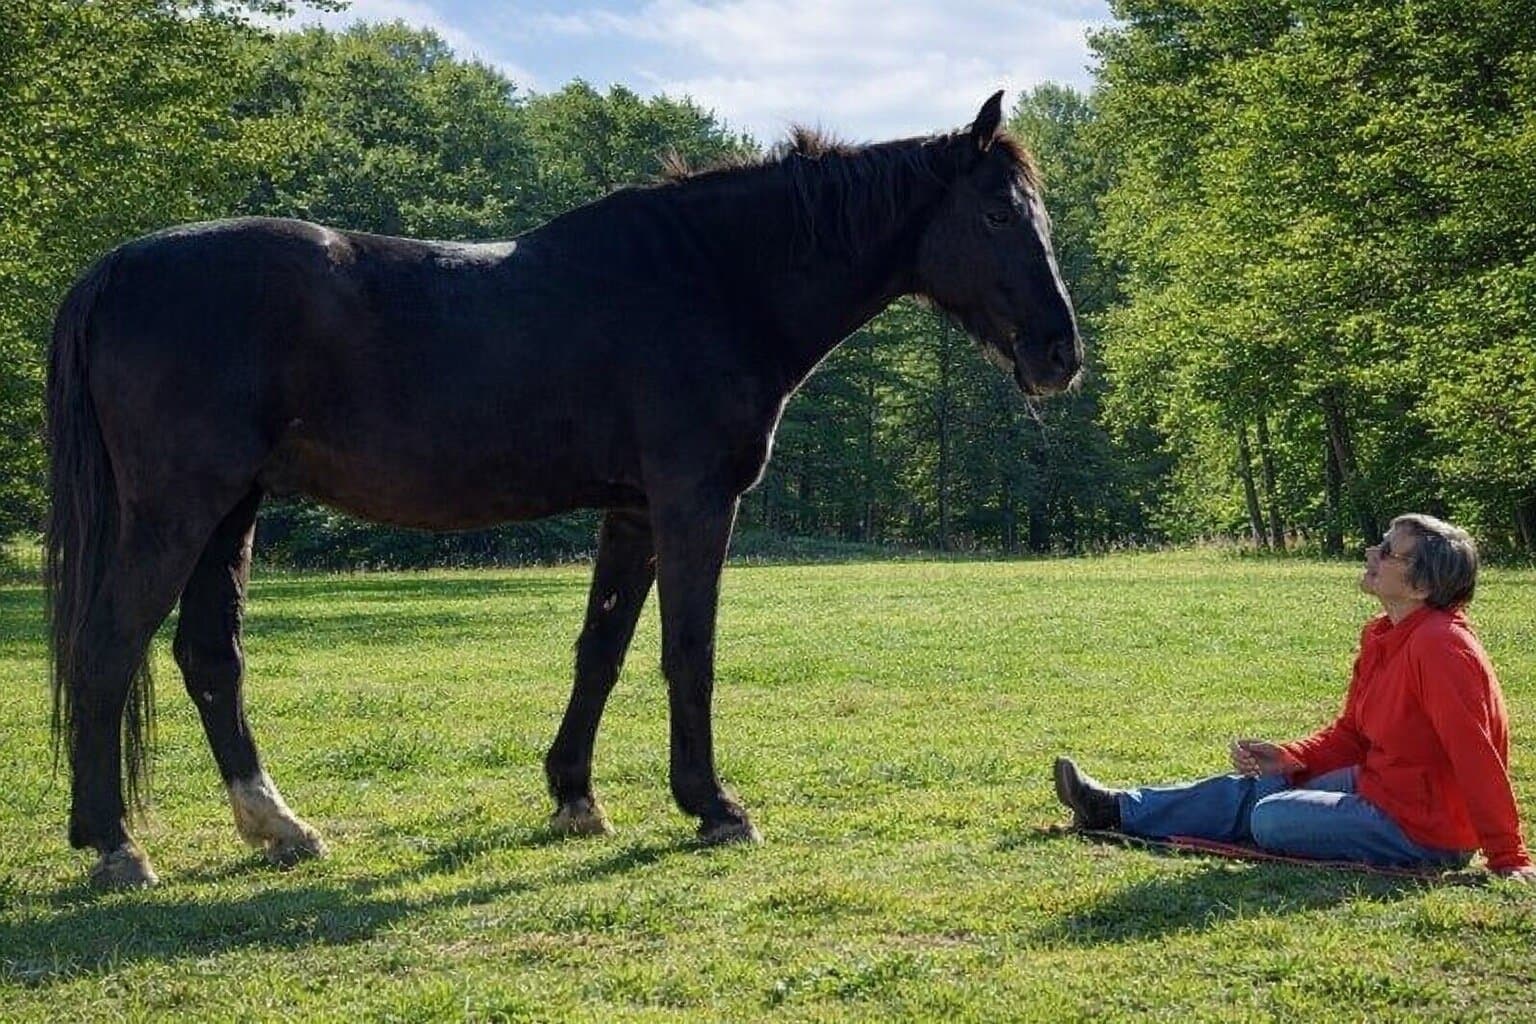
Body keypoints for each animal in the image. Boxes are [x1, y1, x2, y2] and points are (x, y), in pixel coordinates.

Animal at [45, 92, 1080, 887]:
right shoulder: (695, 502)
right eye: (997, 216)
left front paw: (575, 795)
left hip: (230, 513)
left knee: (208, 658)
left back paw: (277, 827)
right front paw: (713, 805)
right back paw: (116, 847)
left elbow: (602, 652)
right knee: (105, 650)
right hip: (178, 512)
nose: (1060, 353)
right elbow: (687, 652)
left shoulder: (631, 512)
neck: (714, 278)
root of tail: (115, 268)